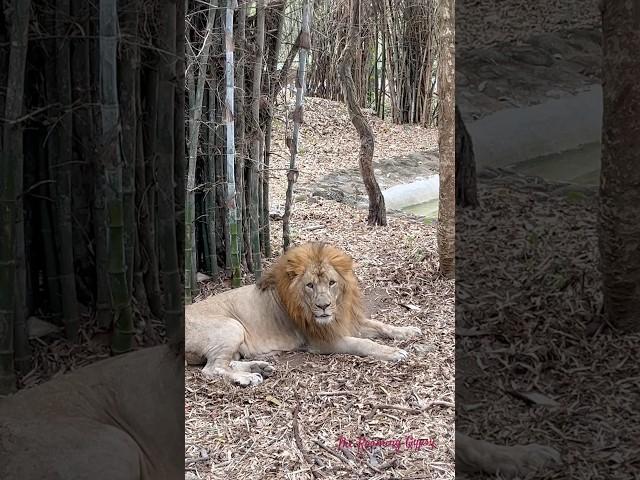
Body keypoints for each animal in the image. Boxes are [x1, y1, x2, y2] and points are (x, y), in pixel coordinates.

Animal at [186, 242, 420, 384]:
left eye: (332, 282)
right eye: (310, 285)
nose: (324, 306)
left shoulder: (346, 321)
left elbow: (381, 325)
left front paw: (409, 331)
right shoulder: (323, 340)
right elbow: (363, 343)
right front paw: (393, 352)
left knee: (227, 362)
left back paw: (260, 367)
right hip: (231, 326)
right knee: (212, 369)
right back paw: (248, 378)